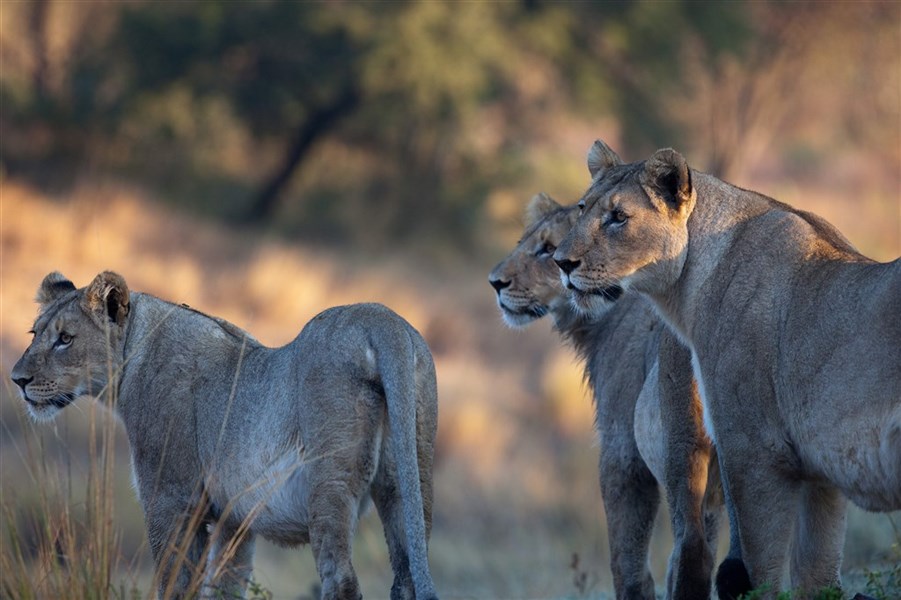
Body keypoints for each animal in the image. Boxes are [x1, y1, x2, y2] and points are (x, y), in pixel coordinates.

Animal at [10, 272, 440, 600]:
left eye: (65, 339)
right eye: (34, 332)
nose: (17, 380)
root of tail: (381, 319)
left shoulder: (170, 500)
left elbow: (175, 583)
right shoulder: (234, 518)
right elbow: (224, 586)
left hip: (329, 483)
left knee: (342, 580)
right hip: (409, 480)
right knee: (406, 577)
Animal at [488, 189, 720, 600]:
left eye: (548, 249)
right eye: (523, 242)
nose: (495, 283)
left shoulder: (621, 448)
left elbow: (628, 561)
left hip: (682, 451)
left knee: (692, 553)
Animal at [556, 139, 900, 596]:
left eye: (618, 217)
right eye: (582, 208)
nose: (561, 263)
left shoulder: (754, 451)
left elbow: (761, 573)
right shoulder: (820, 478)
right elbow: (817, 574)